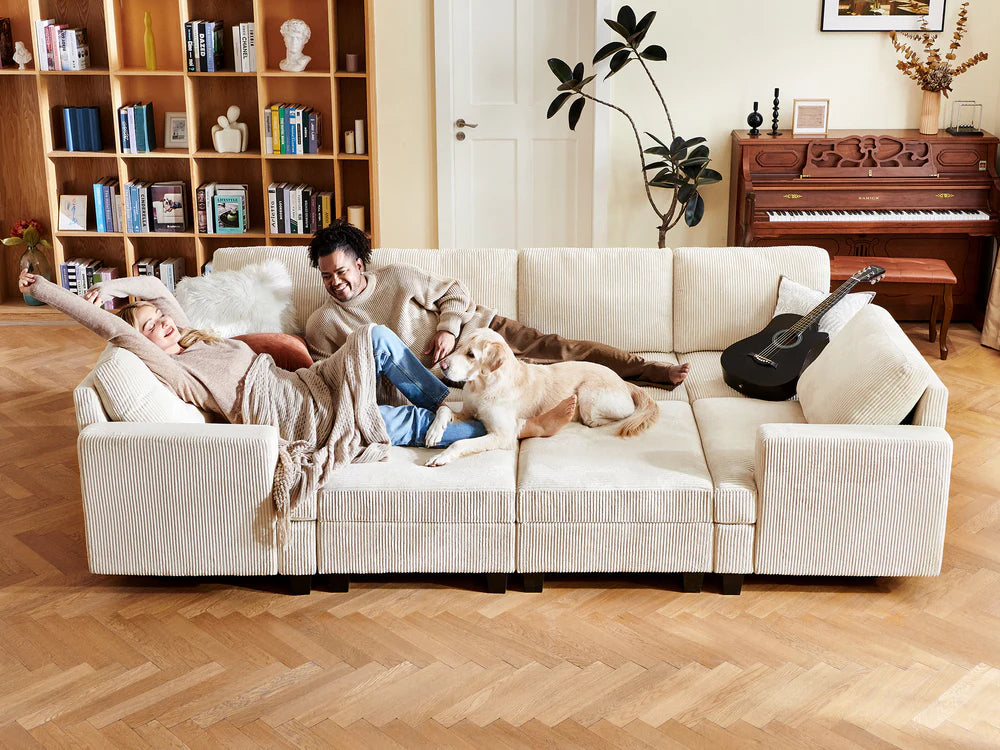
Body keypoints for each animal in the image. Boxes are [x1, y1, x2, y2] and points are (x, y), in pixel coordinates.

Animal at [426, 326, 660, 468]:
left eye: (471, 355)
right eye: (459, 347)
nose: (442, 366)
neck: (483, 386)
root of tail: (625, 382)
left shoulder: (502, 435)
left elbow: (460, 443)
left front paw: (442, 456)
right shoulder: (468, 411)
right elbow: (444, 409)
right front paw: (434, 432)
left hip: (588, 397)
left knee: (599, 419)